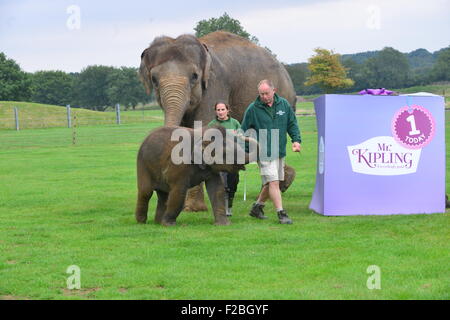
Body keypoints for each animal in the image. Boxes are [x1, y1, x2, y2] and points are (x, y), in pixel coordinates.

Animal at [139, 31, 298, 211]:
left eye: (194, 76)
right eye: (154, 79)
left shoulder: (215, 86)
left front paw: (194, 209)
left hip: (283, 96)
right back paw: (284, 182)